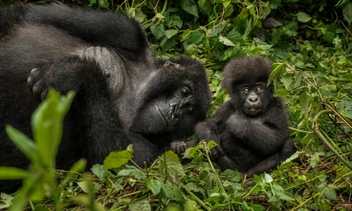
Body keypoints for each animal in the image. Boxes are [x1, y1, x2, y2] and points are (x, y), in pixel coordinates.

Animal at [0, 2, 210, 191]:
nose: (176, 111)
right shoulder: (126, 32)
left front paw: (76, 74)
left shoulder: (156, 153)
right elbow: (27, 15)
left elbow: (112, 159)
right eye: (185, 91)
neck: (137, 92)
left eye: (189, 110)